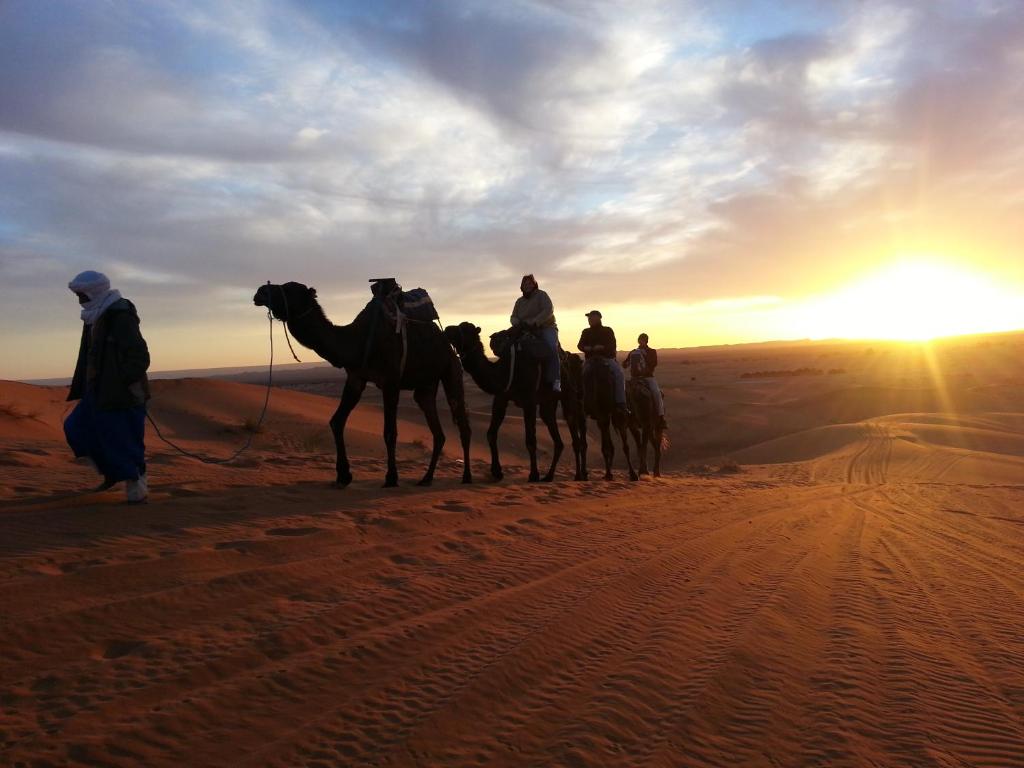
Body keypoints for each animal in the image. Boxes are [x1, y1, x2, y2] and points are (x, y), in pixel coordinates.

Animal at [253, 282, 468, 487]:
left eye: (289, 289)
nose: (260, 292)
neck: (358, 340)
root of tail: (447, 344)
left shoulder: (391, 382)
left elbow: (389, 432)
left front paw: (391, 478)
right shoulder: (356, 378)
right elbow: (336, 421)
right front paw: (343, 476)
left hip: (452, 370)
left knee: (462, 421)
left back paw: (467, 476)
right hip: (426, 385)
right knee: (437, 430)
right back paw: (426, 478)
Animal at [446, 323, 589, 481]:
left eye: (465, 330)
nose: (447, 329)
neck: (506, 370)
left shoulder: (529, 400)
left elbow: (530, 440)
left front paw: (534, 474)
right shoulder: (501, 397)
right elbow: (491, 434)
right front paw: (496, 471)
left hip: (569, 396)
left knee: (575, 433)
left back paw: (579, 475)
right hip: (549, 401)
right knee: (558, 438)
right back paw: (549, 476)